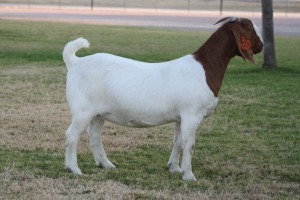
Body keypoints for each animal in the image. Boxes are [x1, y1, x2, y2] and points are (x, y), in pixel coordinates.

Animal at [62, 16, 262, 180]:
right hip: (83, 110)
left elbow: (178, 142)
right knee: (72, 134)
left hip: (98, 113)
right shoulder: (191, 115)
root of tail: (75, 62)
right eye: (249, 29)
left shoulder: (180, 117)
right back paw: (74, 169)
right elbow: (190, 144)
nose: (261, 46)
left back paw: (106, 164)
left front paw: (174, 168)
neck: (204, 69)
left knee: (94, 136)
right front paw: (189, 175)